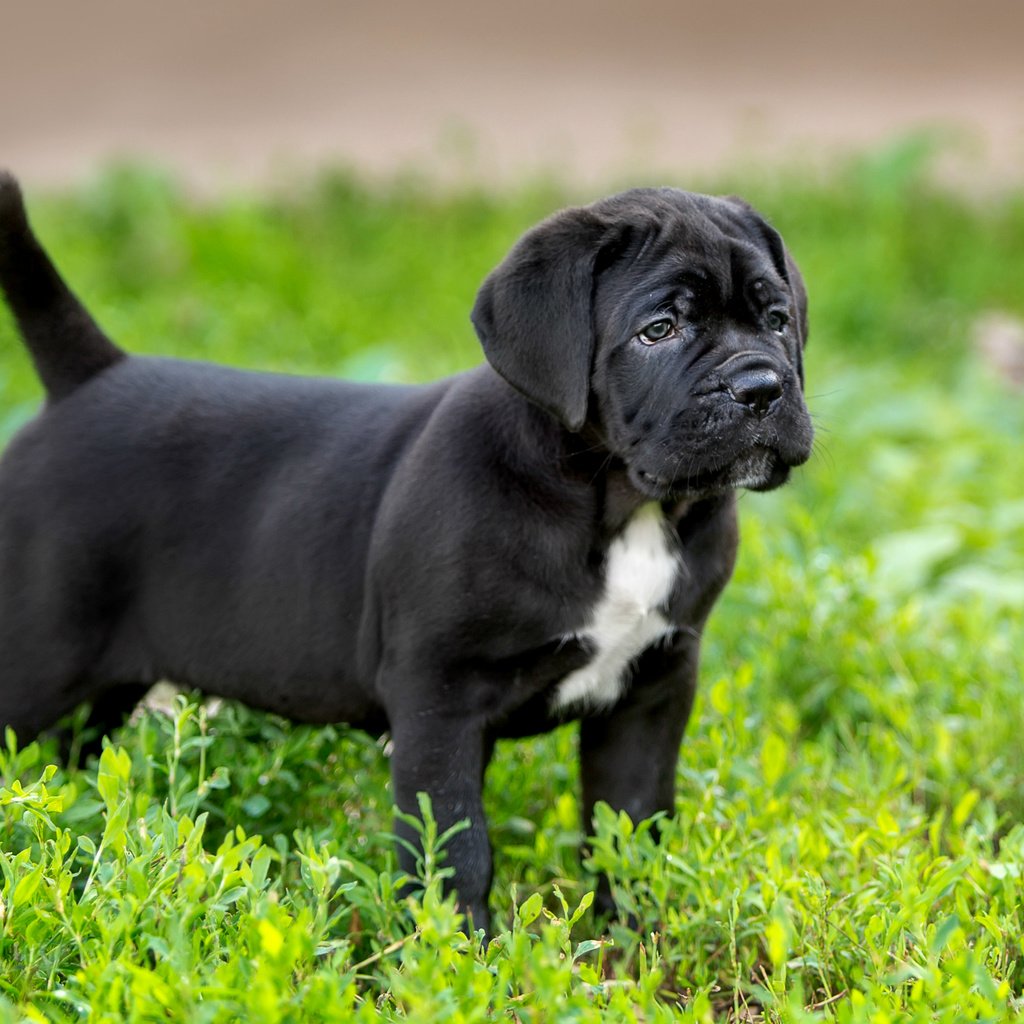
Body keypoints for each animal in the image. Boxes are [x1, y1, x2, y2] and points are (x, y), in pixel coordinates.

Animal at [2, 172, 815, 933]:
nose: (762, 385)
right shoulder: (441, 696)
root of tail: (89, 381)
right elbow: (455, 843)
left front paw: (633, 944)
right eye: (659, 329)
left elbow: (631, 826)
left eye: (777, 320)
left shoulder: (651, 688)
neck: (622, 506)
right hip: (37, 655)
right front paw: (460, 954)